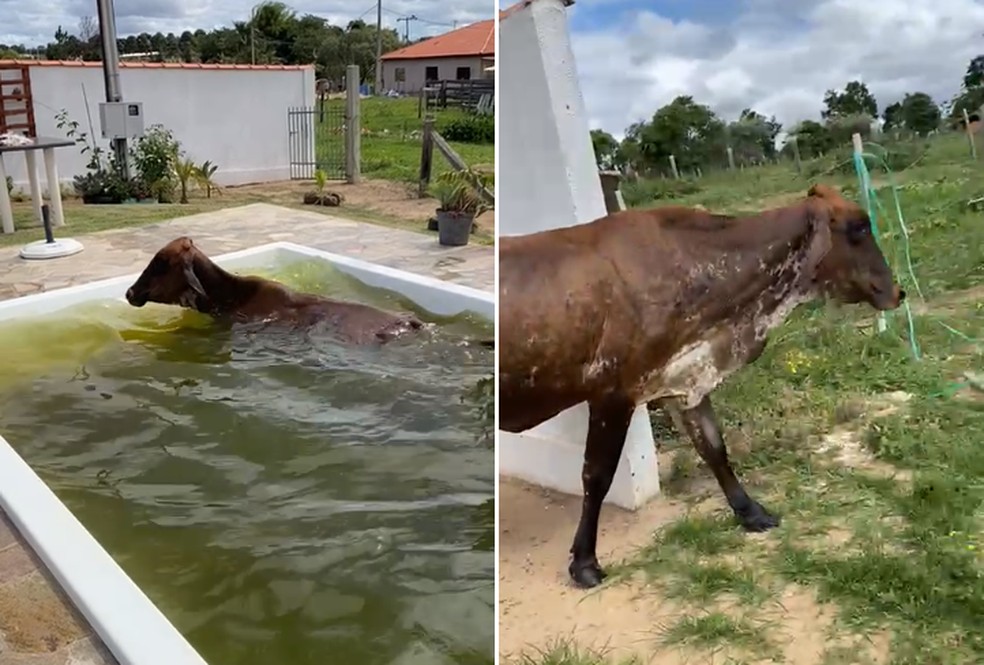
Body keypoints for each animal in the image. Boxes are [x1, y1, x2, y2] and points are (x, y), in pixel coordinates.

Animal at [498, 184, 905, 588]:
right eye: (858, 228)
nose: (898, 292)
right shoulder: (613, 394)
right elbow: (596, 476)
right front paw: (584, 561)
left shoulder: (687, 380)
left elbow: (714, 448)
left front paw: (751, 512)